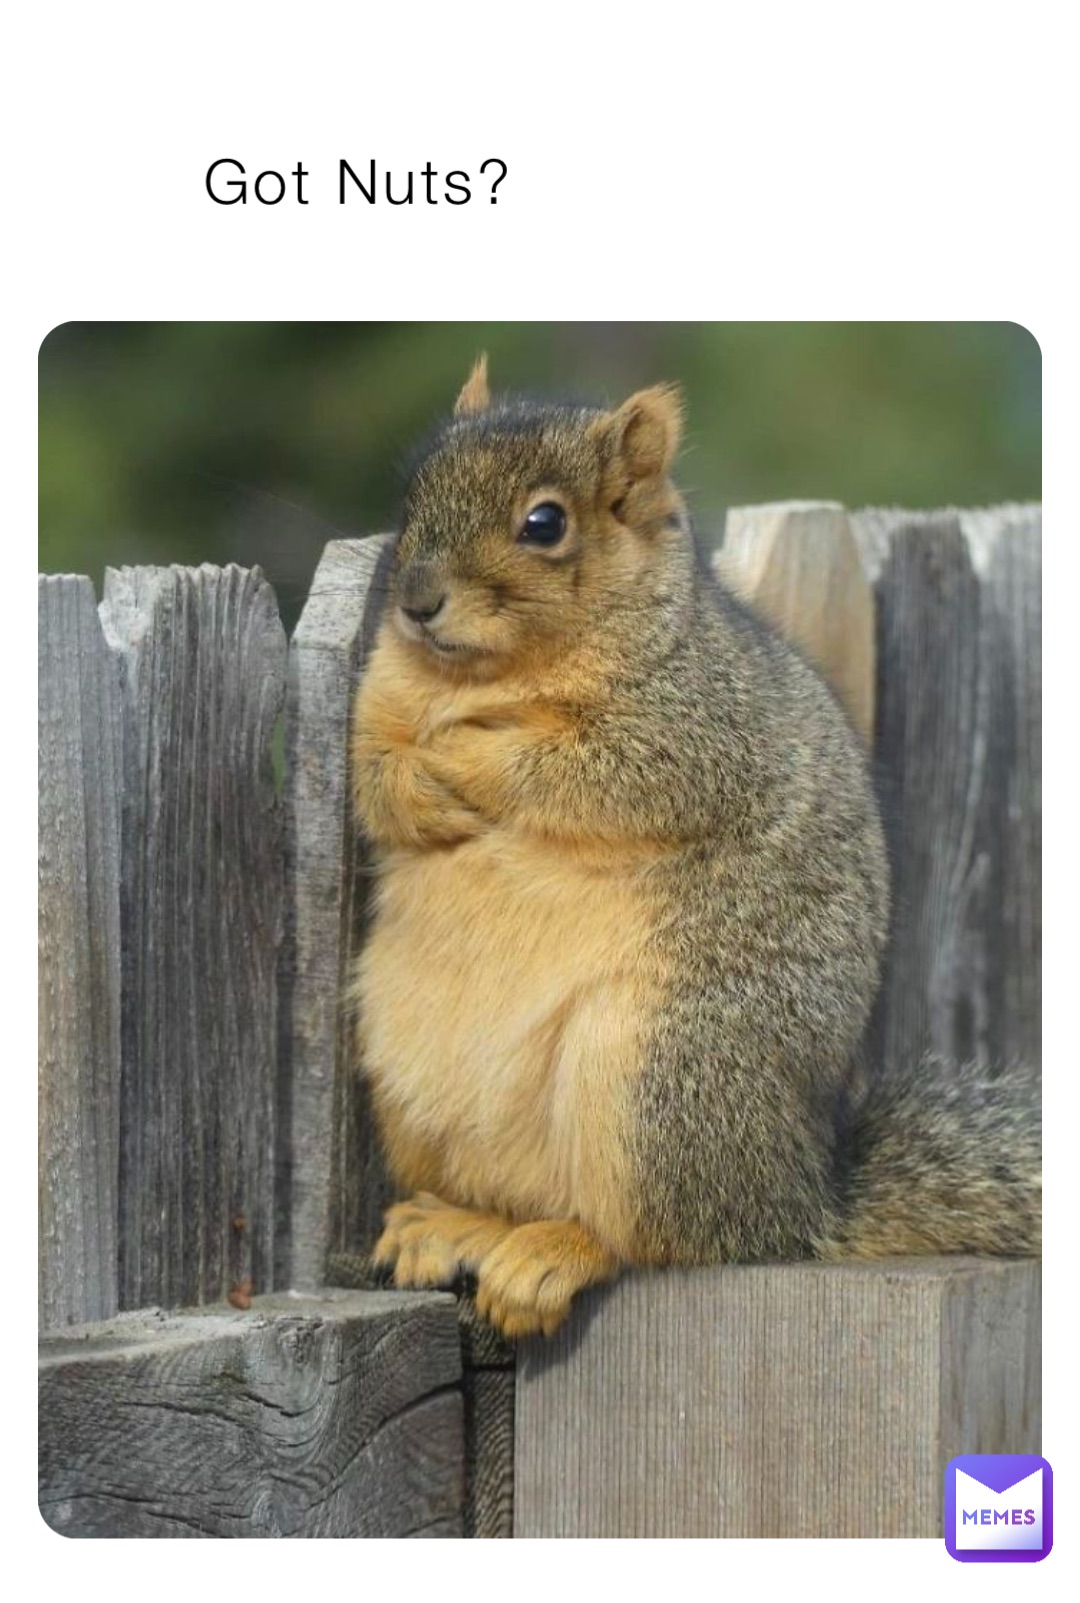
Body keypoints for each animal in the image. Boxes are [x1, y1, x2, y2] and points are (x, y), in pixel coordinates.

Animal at [349, 356, 1041, 1339]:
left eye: (545, 523)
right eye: (413, 491)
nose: (414, 602)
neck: (486, 675)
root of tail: (799, 1200)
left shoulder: (696, 726)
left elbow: (586, 770)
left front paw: (466, 755)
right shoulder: (376, 702)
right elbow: (372, 776)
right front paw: (418, 787)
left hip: (656, 1080)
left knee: (656, 1239)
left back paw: (554, 1253)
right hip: (407, 1076)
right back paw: (457, 1223)